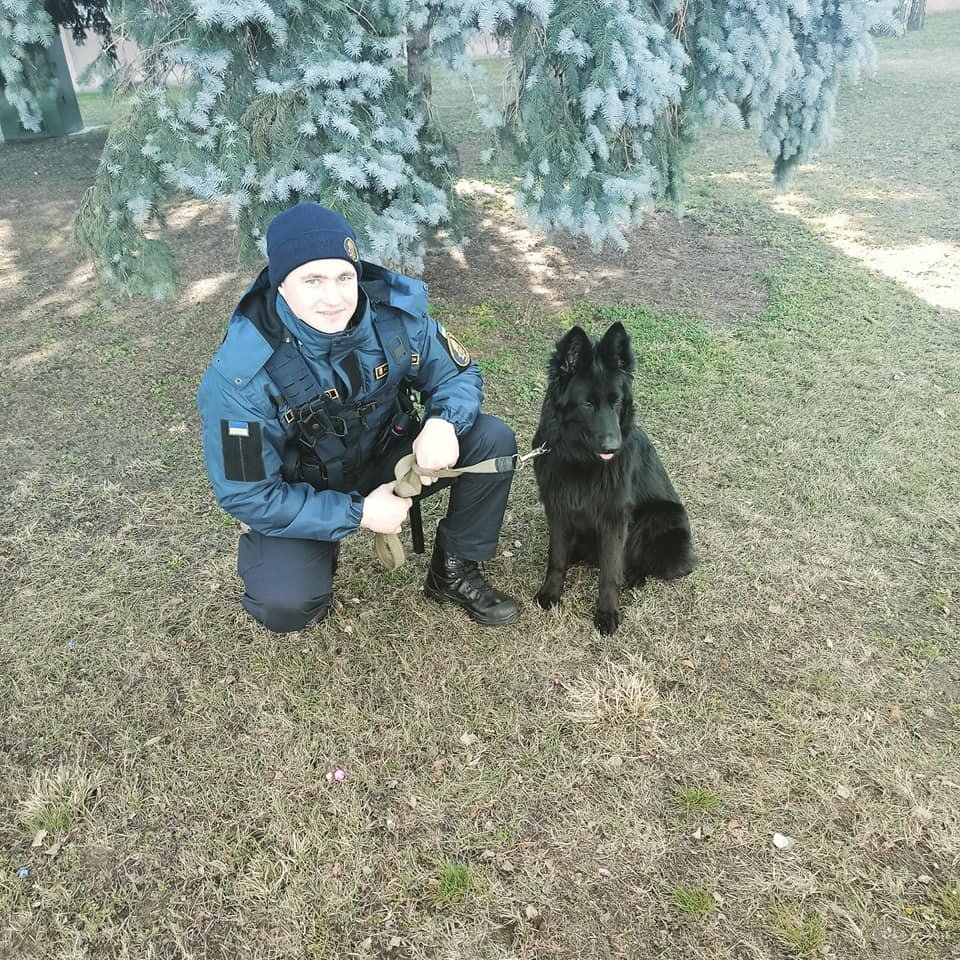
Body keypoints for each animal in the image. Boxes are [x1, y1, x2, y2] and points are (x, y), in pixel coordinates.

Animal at [532, 321, 694, 634]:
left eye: (616, 401)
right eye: (588, 404)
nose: (612, 447)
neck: (581, 462)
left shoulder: (614, 520)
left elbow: (609, 572)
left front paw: (607, 613)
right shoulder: (557, 509)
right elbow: (556, 558)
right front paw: (551, 593)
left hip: (660, 518)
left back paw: (633, 576)